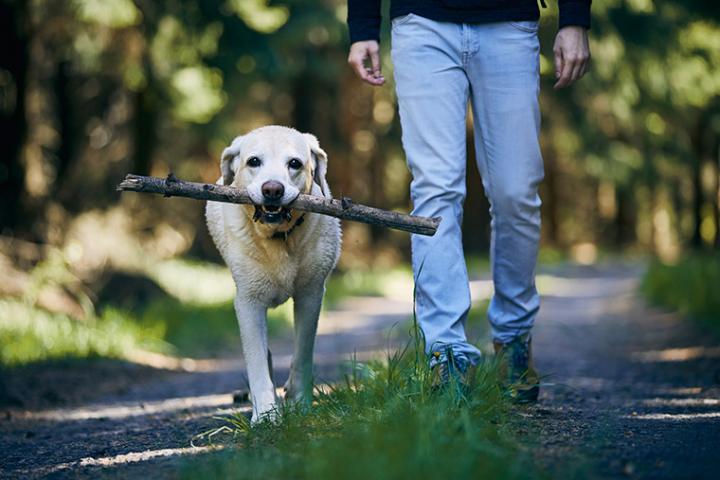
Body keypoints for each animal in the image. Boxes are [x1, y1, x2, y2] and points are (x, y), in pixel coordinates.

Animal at [204, 125, 342, 422]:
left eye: (295, 163)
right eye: (254, 161)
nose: (272, 189)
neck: (279, 239)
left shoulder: (311, 294)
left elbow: (302, 353)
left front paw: (300, 404)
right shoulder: (248, 302)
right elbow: (256, 360)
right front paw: (267, 414)